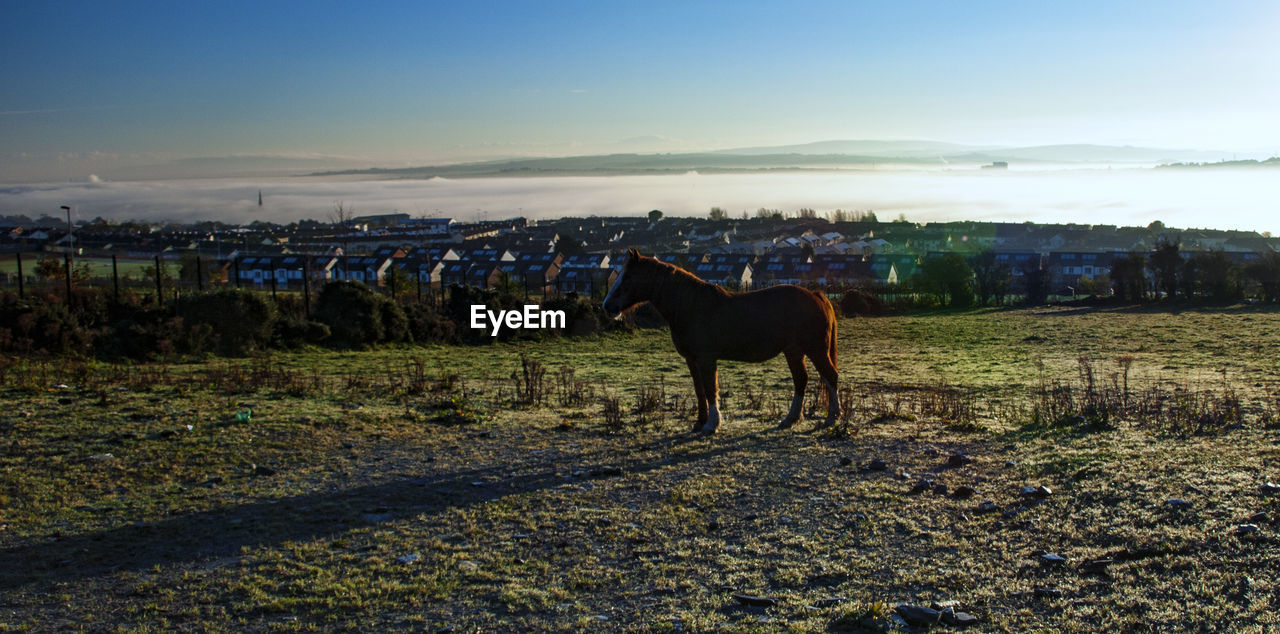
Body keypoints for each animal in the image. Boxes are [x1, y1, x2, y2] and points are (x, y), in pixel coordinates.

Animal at [601, 251, 839, 435]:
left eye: (628, 278)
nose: (607, 306)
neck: (690, 305)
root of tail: (816, 295)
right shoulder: (692, 360)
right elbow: (699, 390)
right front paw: (699, 423)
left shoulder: (707, 359)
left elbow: (709, 389)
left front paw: (712, 424)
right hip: (794, 352)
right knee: (801, 380)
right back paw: (791, 419)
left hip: (816, 350)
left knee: (830, 377)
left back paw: (832, 417)